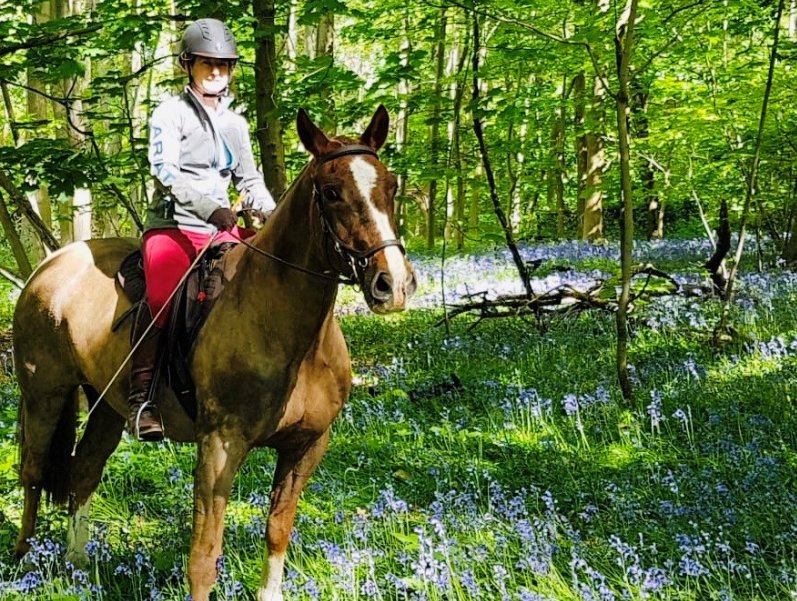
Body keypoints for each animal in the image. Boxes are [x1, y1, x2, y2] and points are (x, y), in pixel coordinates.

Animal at [12, 105, 416, 596]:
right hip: (44, 394)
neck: (288, 332)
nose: (393, 284)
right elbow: (204, 556)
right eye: (332, 192)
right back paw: (24, 561)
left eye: (390, 185)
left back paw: (76, 566)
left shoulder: (306, 447)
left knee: (83, 471)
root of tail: (48, 267)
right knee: (33, 472)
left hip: (107, 406)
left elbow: (277, 529)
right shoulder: (220, 447)